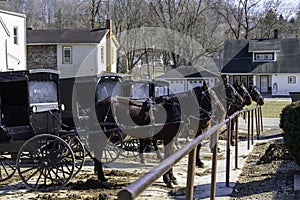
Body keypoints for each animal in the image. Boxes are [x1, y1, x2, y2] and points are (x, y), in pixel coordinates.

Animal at [94, 83, 225, 188]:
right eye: (211, 95)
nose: (222, 111)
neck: (175, 108)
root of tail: (99, 103)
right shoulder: (169, 139)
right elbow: (168, 157)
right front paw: (168, 180)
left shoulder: (171, 139)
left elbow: (171, 157)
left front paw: (172, 178)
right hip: (104, 134)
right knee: (99, 151)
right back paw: (103, 178)